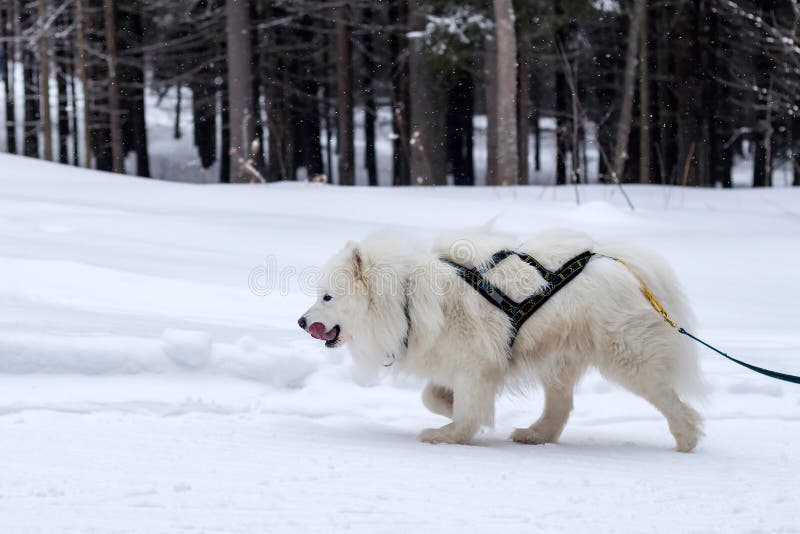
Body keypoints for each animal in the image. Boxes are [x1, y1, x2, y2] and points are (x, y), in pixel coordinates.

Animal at [296, 229, 704, 452]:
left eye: (327, 297)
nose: (301, 322)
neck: (405, 298)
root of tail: (623, 265)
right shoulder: (455, 361)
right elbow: (432, 396)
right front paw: (453, 411)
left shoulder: (475, 363)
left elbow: (465, 410)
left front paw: (448, 433)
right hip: (559, 355)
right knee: (560, 406)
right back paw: (534, 434)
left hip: (626, 357)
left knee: (667, 398)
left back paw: (687, 437)